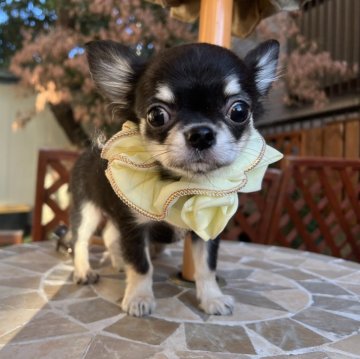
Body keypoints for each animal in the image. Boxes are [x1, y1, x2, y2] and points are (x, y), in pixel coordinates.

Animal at [69, 40, 280, 318]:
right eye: (156, 115)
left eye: (239, 111)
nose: (201, 134)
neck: (181, 183)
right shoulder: (134, 227)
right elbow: (141, 264)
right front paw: (139, 298)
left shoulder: (207, 228)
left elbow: (206, 266)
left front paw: (212, 298)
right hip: (87, 209)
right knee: (81, 239)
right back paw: (84, 271)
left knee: (109, 235)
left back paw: (118, 262)